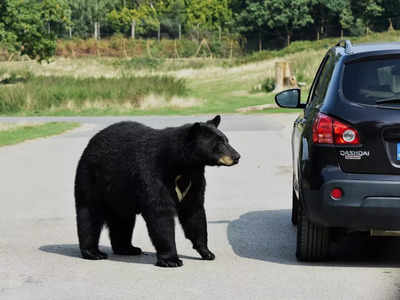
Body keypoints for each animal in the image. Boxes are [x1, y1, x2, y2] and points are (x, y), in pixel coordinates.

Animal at [74, 115, 239, 268]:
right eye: (218, 144)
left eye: (227, 140)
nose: (237, 156)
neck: (181, 165)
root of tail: (91, 142)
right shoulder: (153, 173)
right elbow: (160, 213)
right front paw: (171, 260)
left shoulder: (194, 179)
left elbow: (194, 212)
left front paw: (206, 252)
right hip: (91, 178)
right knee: (89, 214)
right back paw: (93, 252)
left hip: (120, 192)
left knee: (123, 220)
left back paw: (128, 248)